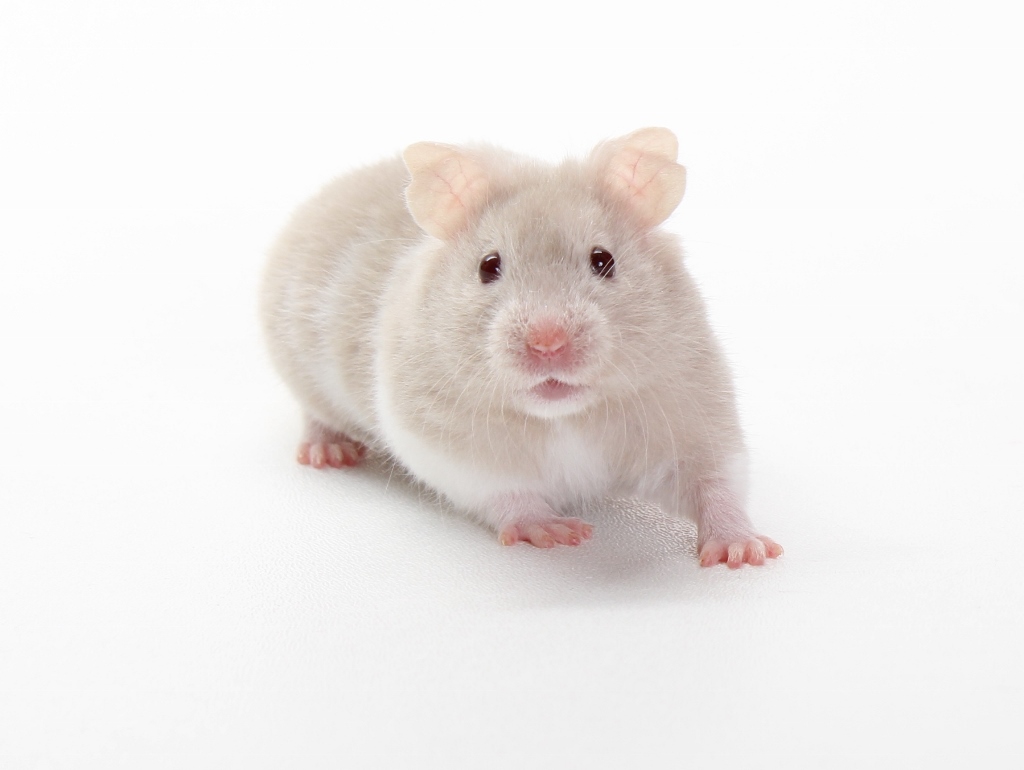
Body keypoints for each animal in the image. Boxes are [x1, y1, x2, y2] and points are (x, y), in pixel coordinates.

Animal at [260, 127, 782, 568]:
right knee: (315, 415)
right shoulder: (445, 444)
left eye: (604, 261)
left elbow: (715, 483)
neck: (564, 415)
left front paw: (745, 552)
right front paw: (560, 534)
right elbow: (507, 493)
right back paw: (329, 453)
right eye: (488, 266)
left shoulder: (693, 412)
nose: (547, 344)